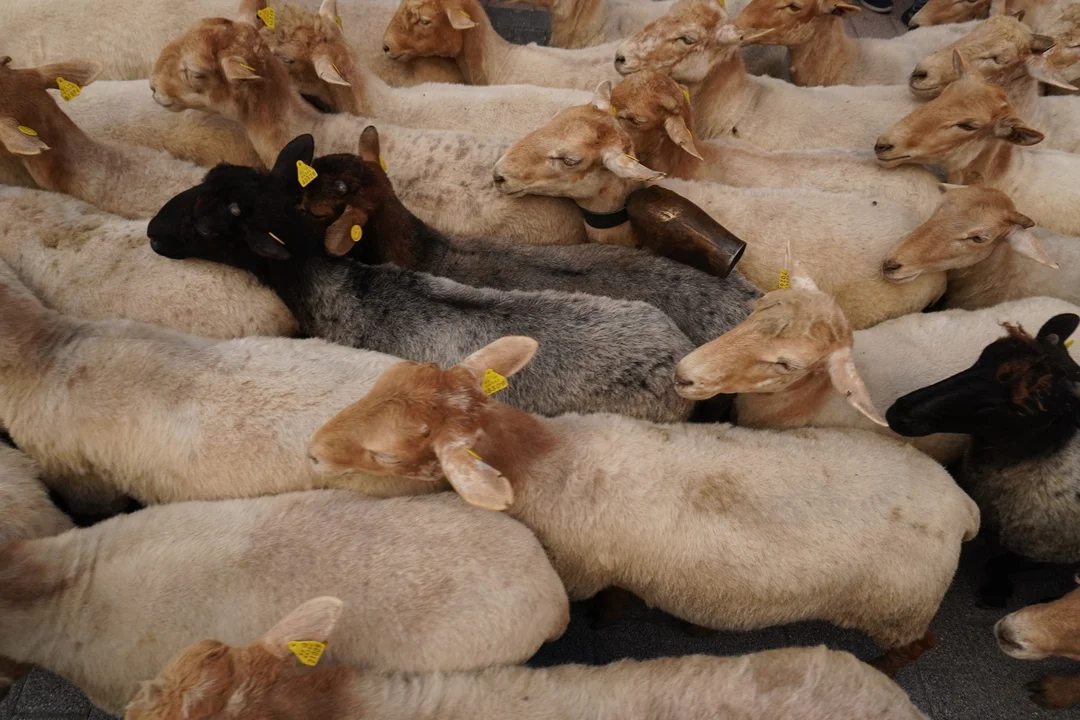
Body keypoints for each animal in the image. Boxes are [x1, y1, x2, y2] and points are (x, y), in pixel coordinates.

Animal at [308, 335, 980, 677]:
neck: (542, 457)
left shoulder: (585, 569)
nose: (314, 451)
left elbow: (608, 599)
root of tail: (962, 505)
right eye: (382, 382)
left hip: (898, 603)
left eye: (387, 452)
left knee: (918, 645)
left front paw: (608, 619)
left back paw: (886, 667)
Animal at [888, 315, 1080, 605]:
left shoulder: (1040, 550)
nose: (898, 412)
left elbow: (1004, 564)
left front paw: (993, 592)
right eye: (980, 360)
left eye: (1018, 409)